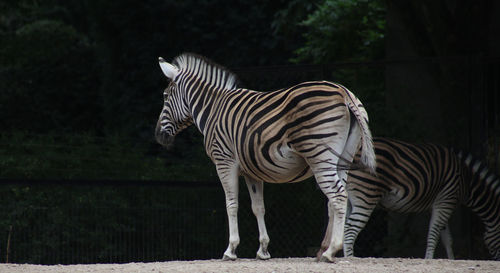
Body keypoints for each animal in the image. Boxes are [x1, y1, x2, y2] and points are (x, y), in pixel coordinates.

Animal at [155, 53, 376, 262]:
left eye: (165, 96)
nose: (158, 136)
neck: (213, 110)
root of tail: (344, 92)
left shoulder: (224, 161)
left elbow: (231, 204)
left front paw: (231, 250)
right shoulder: (252, 171)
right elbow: (258, 207)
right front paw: (263, 250)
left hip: (319, 155)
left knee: (338, 196)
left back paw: (331, 252)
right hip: (342, 159)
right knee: (333, 200)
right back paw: (322, 249)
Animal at [318, 138, 498, 260]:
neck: (467, 181)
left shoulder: (442, 203)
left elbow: (447, 237)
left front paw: (450, 259)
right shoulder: (447, 199)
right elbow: (434, 232)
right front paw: (429, 259)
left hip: (352, 195)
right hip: (367, 195)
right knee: (350, 229)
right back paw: (350, 258)